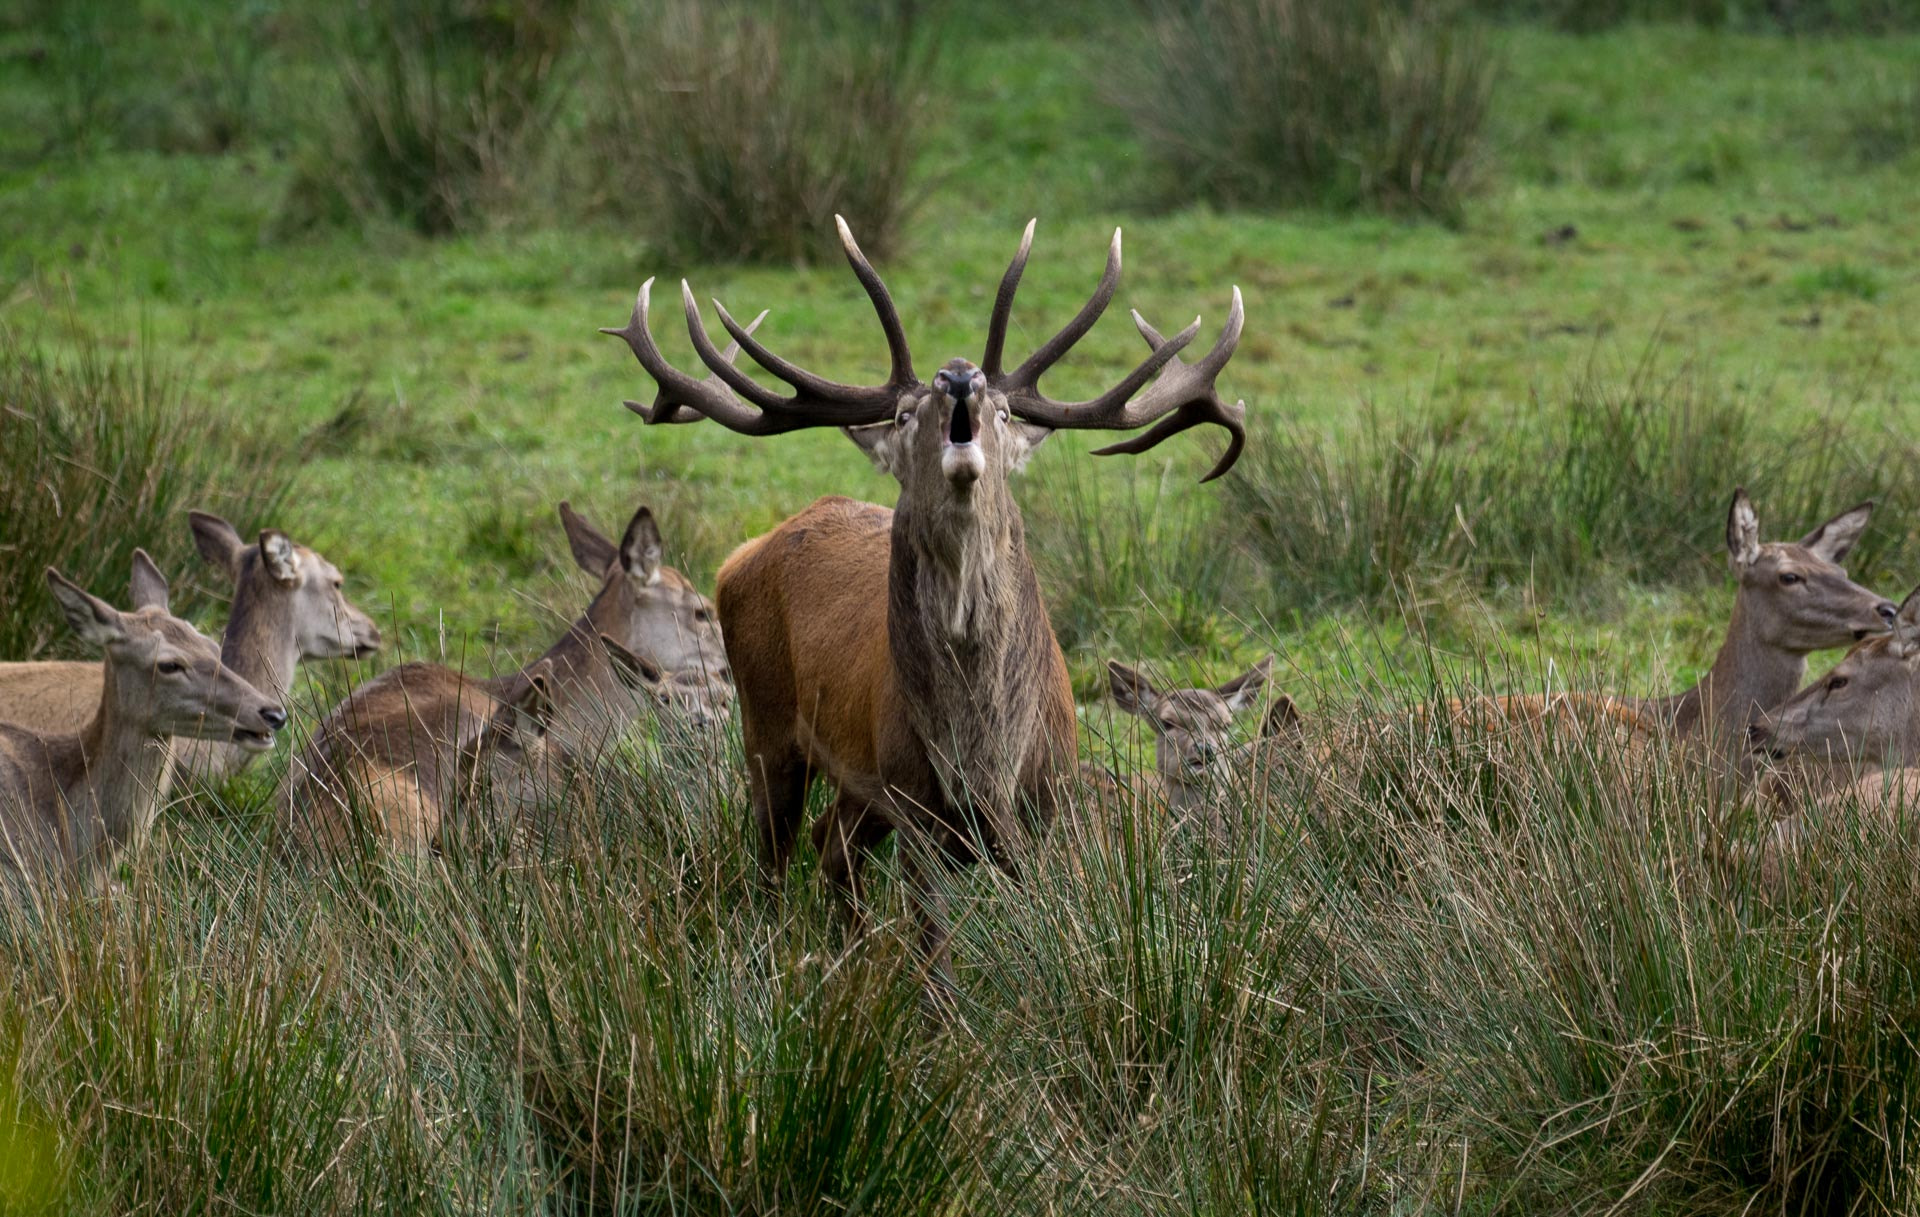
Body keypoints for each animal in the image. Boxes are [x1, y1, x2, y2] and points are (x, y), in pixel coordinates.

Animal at [606, 217, 1251, 998]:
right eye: (906, 413)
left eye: (1004, 410)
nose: (959, 376)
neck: (982, 758)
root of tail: (745, 551)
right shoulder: (912, 805)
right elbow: (936, 956)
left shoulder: (1049, 806)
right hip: (767, 726)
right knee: (772, 859)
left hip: (858, 786)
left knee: (831, 849)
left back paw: (851, 957)